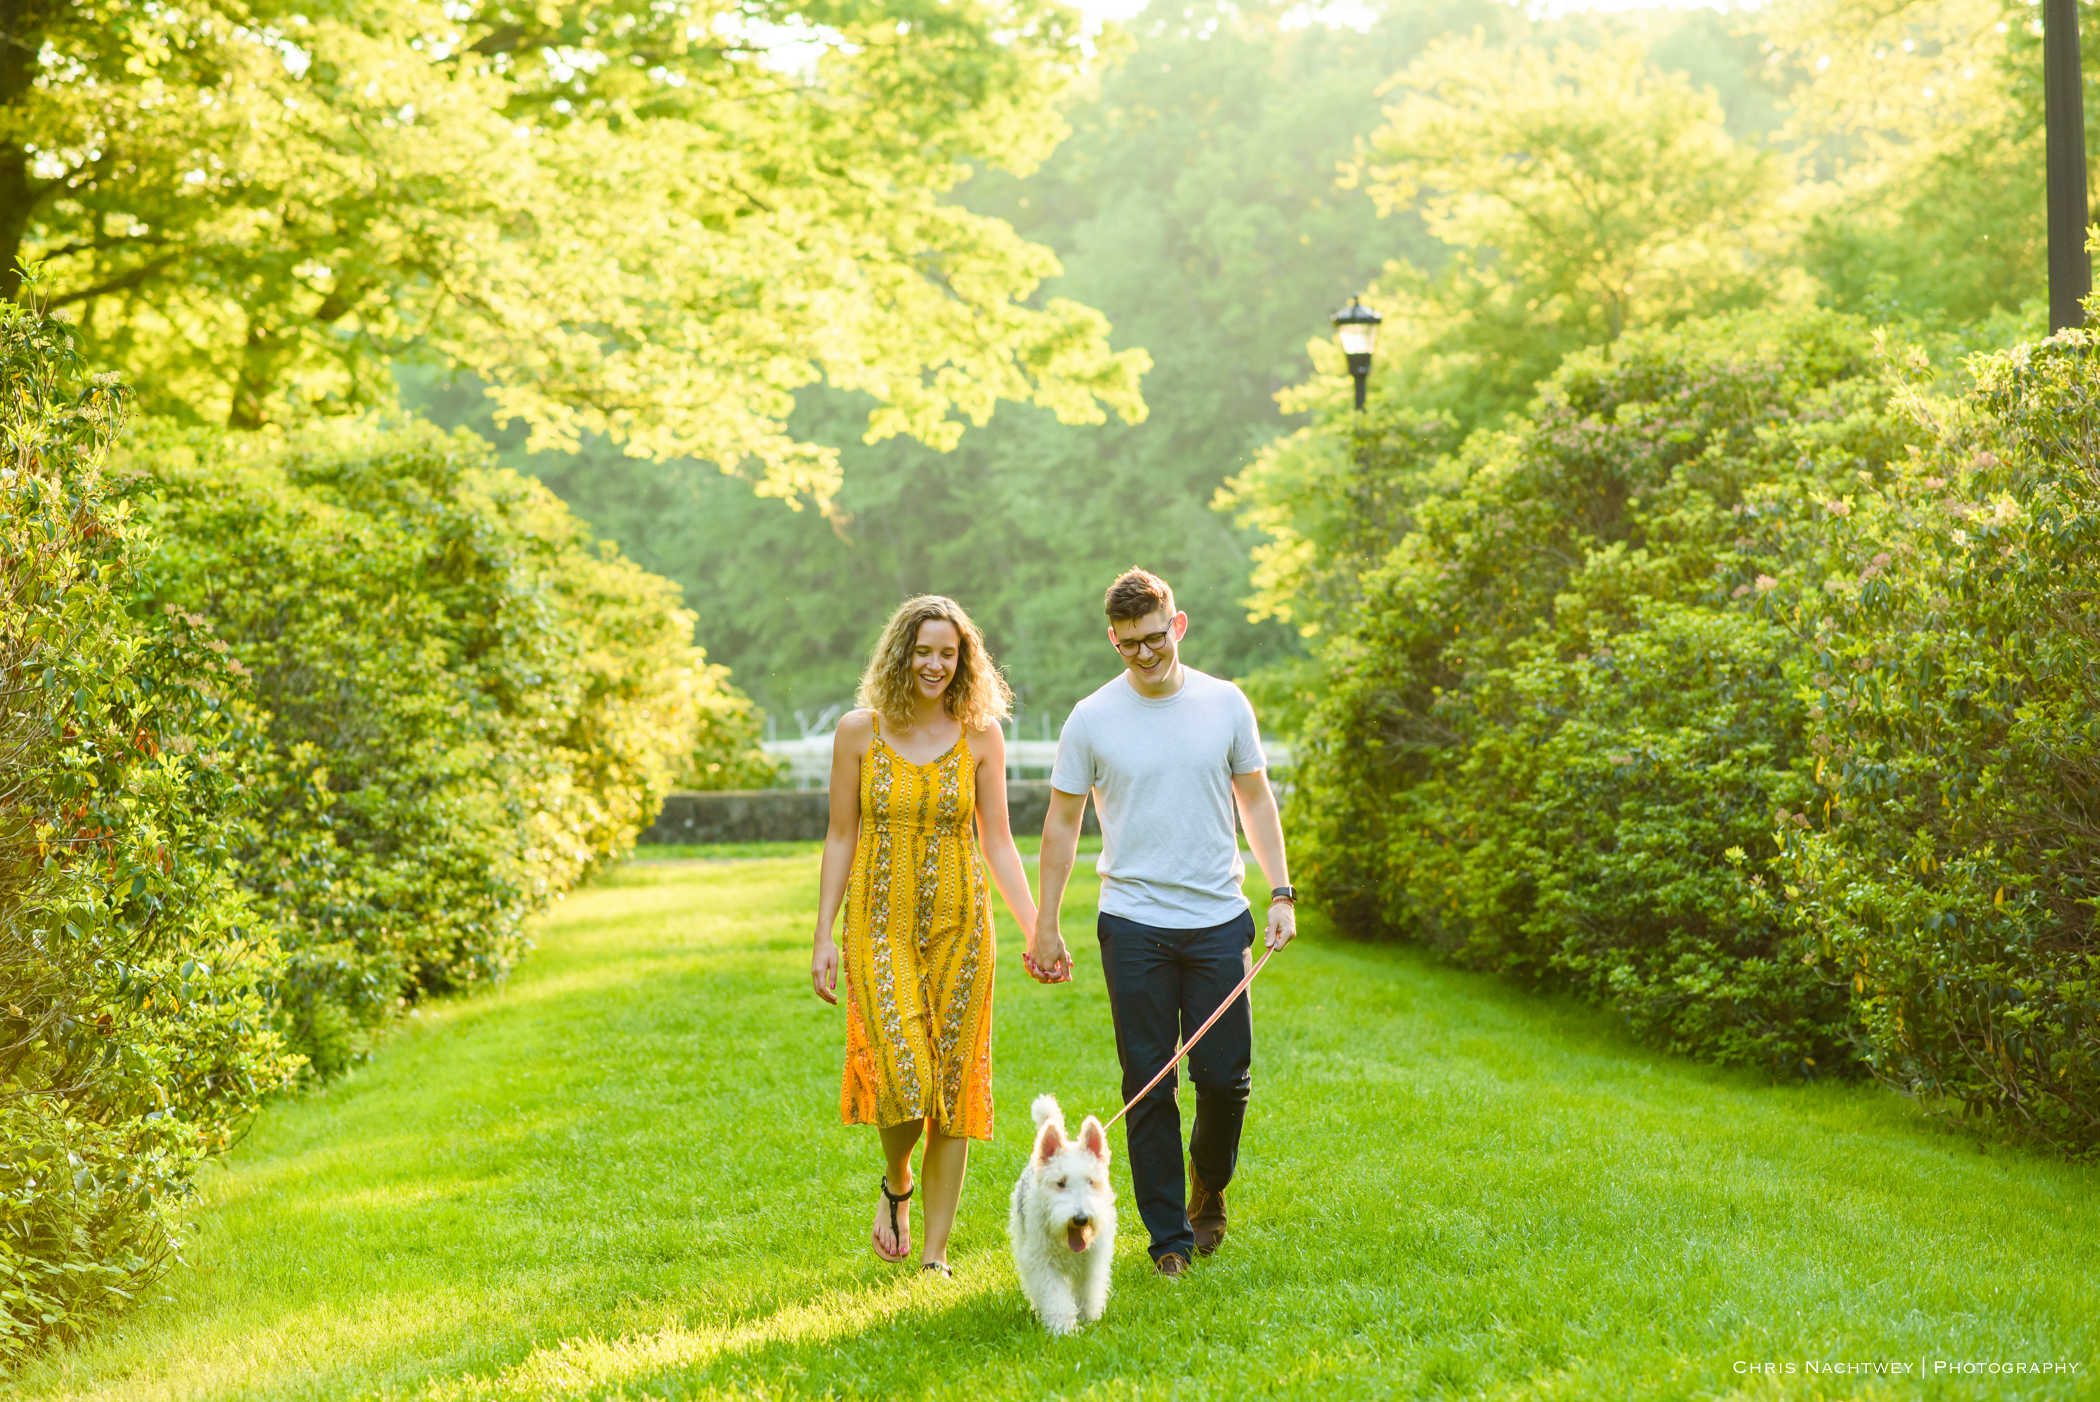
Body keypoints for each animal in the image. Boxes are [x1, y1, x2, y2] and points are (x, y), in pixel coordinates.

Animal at [1012, 1091, 1125, 1334]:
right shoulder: (1042, 1261)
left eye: (1090, 1181)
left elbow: (1087, 1290)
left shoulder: (1092, 1260)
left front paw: (1089, 1319)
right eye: (1061, 1182)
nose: (1080, 1219)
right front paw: (1064, 1329)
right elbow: (1055, 1295)